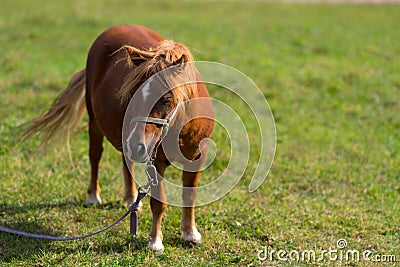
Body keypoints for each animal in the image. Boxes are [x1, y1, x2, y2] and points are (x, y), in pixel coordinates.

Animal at [21, 24, 216, 252]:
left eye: (166, 99)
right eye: (132, 93)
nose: (137, 146)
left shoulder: (196, 158)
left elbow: (190, 196)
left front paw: (190, 233)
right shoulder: (156, 161)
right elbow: (159, 202)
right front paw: (155, 241)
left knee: (126, 161)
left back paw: (131, 198)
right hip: (97, 123)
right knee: (95, 156)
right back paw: (93, 196)